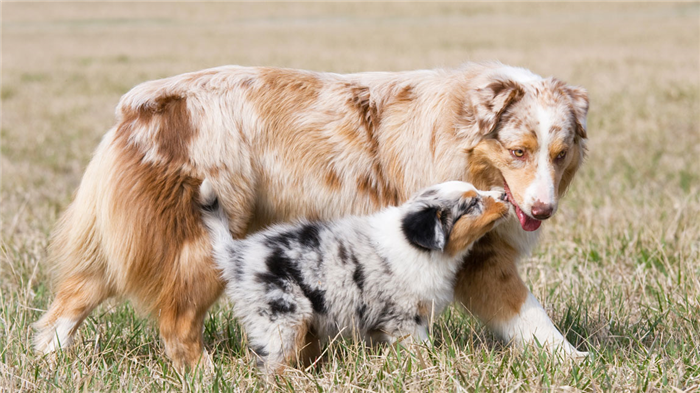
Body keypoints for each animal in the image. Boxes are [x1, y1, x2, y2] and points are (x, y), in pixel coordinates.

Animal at [200, 179, 512, 372]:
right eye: (472, 204)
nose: (504, 195)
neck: (418, 246)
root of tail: (236, 253)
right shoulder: (405, 319)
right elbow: (421, 349)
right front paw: (431, 365)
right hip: (282, 318)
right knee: (272, 364)